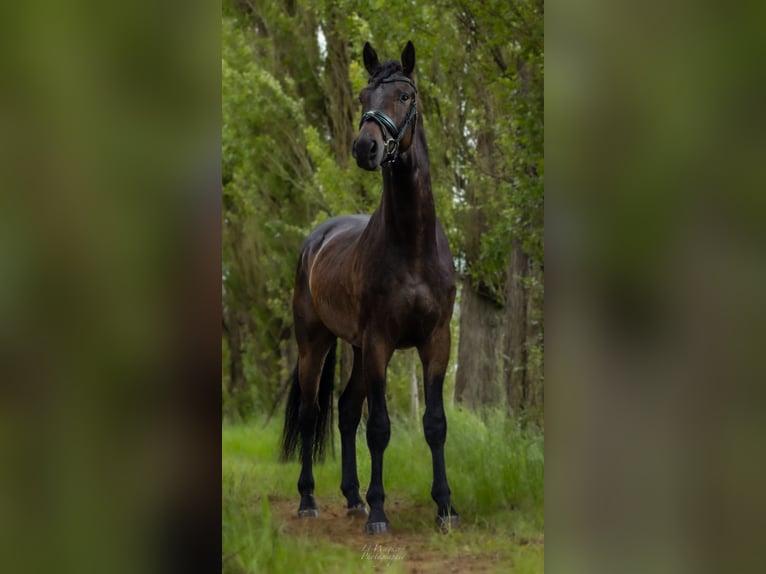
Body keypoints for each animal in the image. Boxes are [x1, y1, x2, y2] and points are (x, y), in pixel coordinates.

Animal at [284, 40, 460, 536]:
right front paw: (381, 513)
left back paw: (352, 497)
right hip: (316, 342)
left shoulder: (437, 340)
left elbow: (435, 423)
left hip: (359, 350)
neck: (413, 245)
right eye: (363, 96)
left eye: (404, 95)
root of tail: (316, 240)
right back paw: (309, 500)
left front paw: (445, 508)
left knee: (344, 411)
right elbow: (379, 427)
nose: (366, 147)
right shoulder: (381, 341)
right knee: (312, 414)